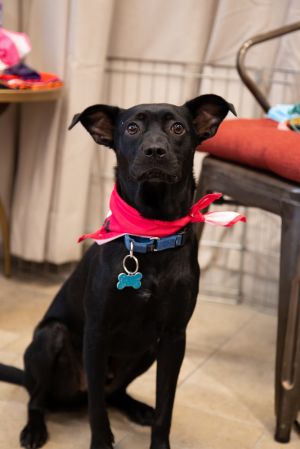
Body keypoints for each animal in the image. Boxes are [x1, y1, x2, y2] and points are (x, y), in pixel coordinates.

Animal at [0, 93, 234, 446]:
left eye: (178, 128)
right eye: (132, 128)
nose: (155, 151)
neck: (151, 233)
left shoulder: (174, 337)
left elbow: (166, 407)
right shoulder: (97, 332)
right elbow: (97, 410)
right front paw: (100, 442)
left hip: (147, 350)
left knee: (115, 393)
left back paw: (136, 408)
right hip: (48, 339)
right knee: (40, 399)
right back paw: (34, 428)